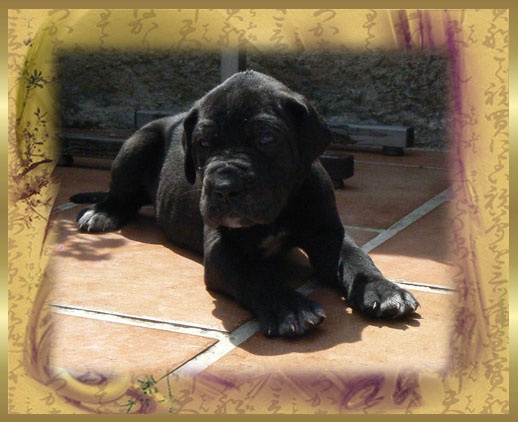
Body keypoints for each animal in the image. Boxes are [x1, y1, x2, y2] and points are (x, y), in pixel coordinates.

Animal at [74, 70, 419, 337]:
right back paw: (101, 213)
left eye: (267, 138)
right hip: (136, 145)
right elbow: (256, 275)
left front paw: (383, 289)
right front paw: (289, 307)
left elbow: (357, 259)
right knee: (120, 196)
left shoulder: (328, 234)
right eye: (202, 143)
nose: (225, 188)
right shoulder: (223, 249)